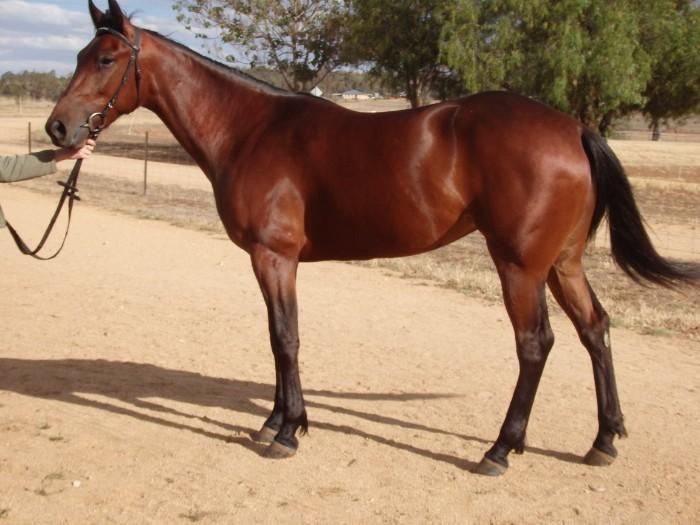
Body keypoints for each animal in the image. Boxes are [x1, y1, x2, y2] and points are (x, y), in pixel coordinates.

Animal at [46, 0, 699, 476]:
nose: (58, 128)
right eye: (81, 53)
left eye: (107, 58)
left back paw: (499, 449)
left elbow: (285, 338)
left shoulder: (274, 257)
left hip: (520, 266)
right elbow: (277, 338)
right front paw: (275, 420)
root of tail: (572, 126)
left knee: (535, 344)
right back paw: (604, 440)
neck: (251, 129)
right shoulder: (273, 261)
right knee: (595, 330)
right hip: (563, 263)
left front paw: (287, 431)